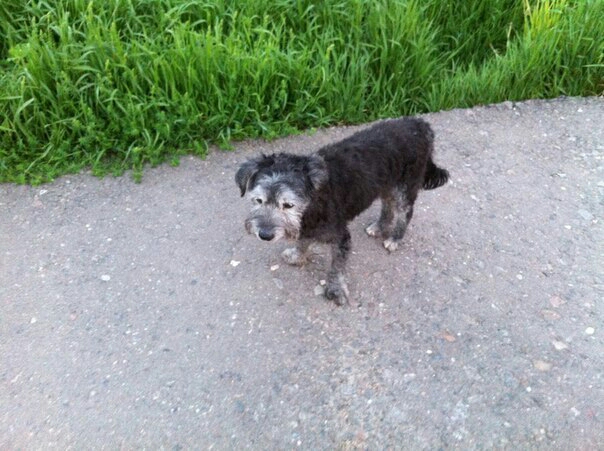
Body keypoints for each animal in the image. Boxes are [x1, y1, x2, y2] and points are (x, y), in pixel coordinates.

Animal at [235, 117, 449, 305]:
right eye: (258, 200)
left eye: (288, 205)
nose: (264, 234)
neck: (314, 199)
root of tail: (420, 125)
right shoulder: (307, 226)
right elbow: (303, 241)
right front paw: (297, 255)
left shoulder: (340, 236)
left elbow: (337, 267)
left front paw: (335, 289)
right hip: (387, 184)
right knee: (387, 205)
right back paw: (379, 226)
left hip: (405, 185)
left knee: (406, 212)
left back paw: (395, 238)